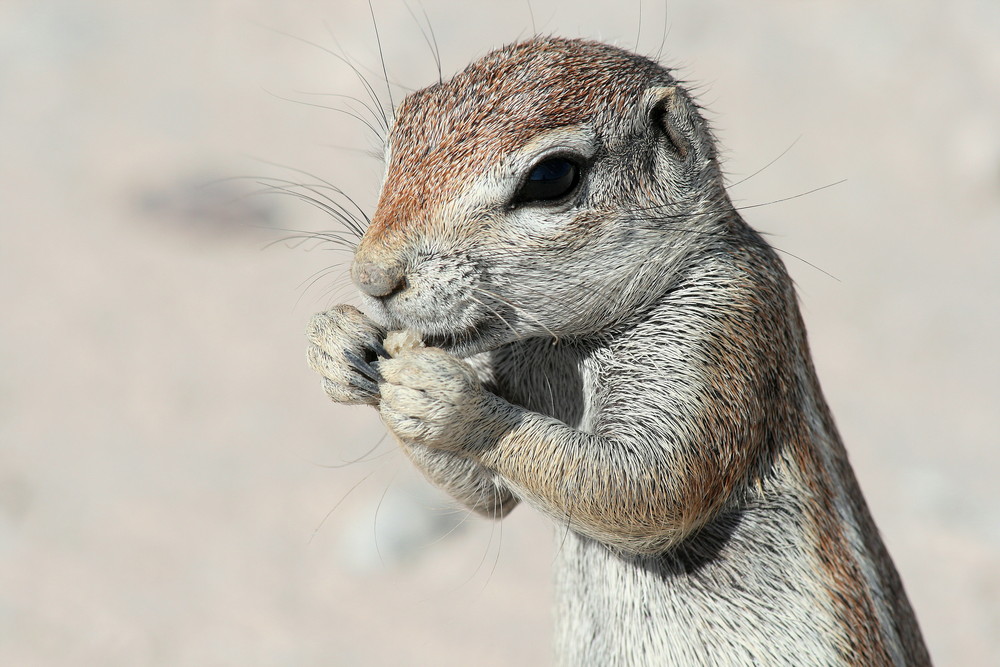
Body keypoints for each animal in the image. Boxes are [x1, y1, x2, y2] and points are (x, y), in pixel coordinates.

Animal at [302, 37, 928, 667]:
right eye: (398, 136)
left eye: (553, 176)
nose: (371, 277)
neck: (573, 342)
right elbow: (489, 497)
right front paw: (336, 341)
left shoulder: (726, 331)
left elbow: (651, 488)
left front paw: (447, 399)